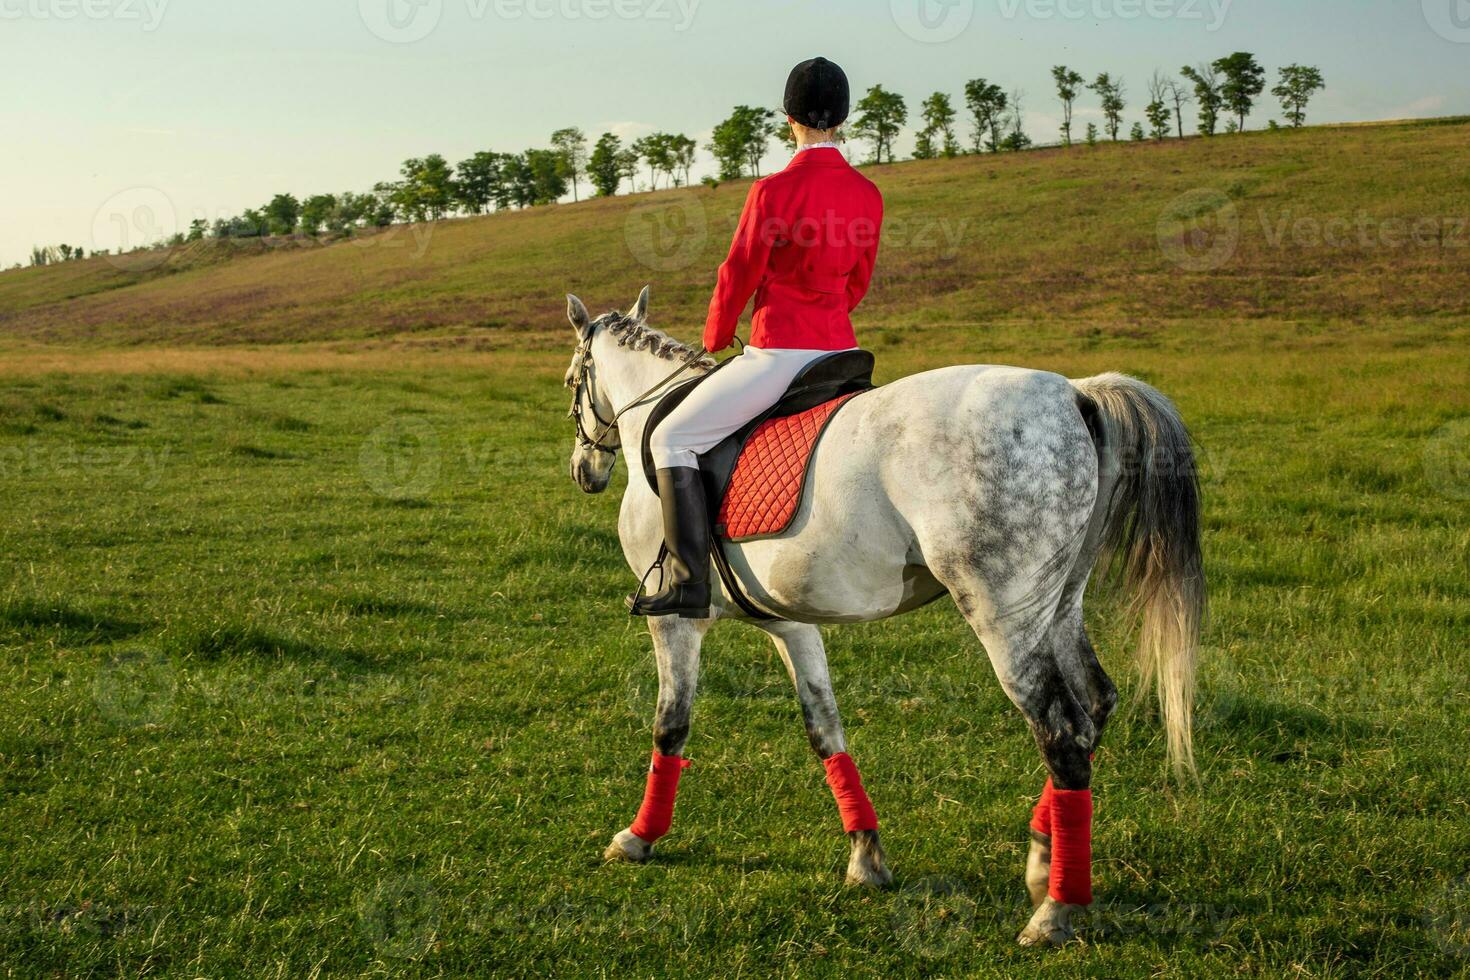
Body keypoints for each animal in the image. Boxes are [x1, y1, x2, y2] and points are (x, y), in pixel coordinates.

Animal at [561, 287, 1205, 946]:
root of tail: (1073, 392)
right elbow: (824, 728)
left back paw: (1054, 910)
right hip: (1060, 604)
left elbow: (670, 724)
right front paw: (866, 856)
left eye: (570, 381)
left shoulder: (674, 621)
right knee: (1096, 704)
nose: (585, 472)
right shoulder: (792, 623)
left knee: (1063, 732)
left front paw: (638, 838)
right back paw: (1041, 857)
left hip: (1005, 617)